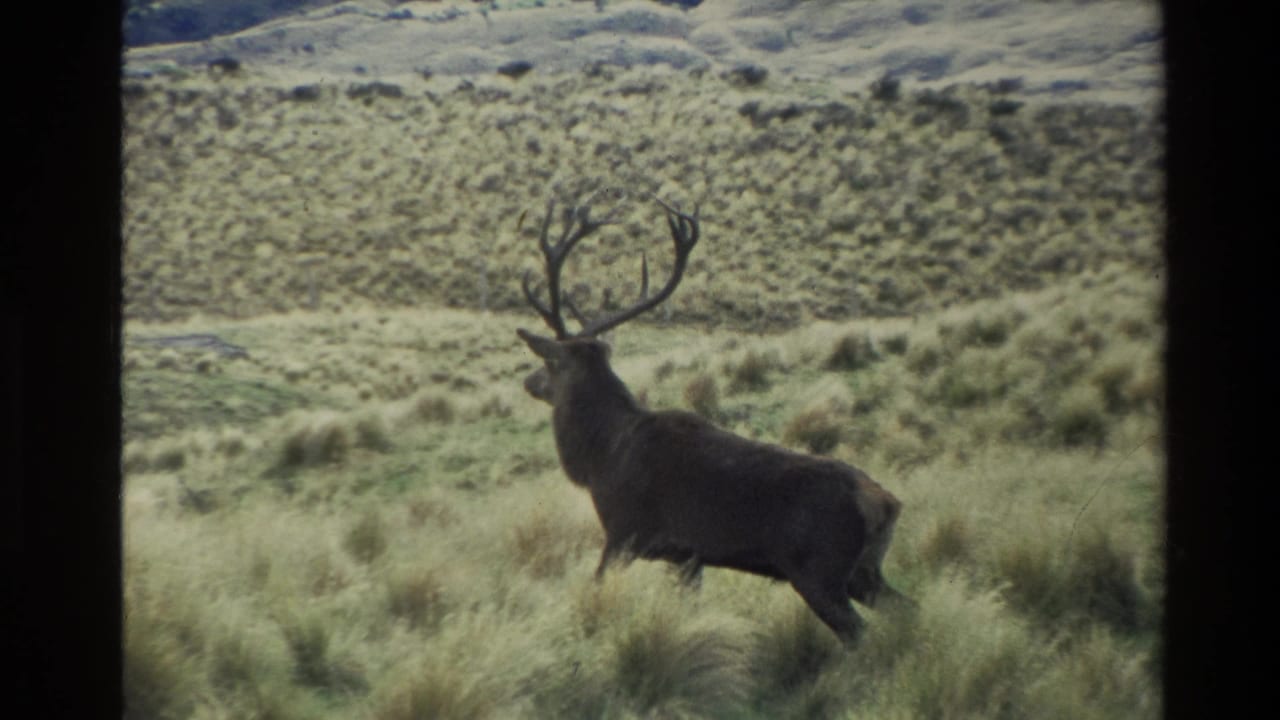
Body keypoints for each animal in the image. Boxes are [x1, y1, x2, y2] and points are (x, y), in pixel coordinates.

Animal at [515, 194, 912, 645]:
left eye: (550, 363)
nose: (529, 381)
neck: (600, 457)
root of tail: (886, 504)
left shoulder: (622, 533)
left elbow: (596, 586)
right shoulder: (689, 555)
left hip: (820, 570)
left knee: (857, 632)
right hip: (863, 571)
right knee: (907, 609)